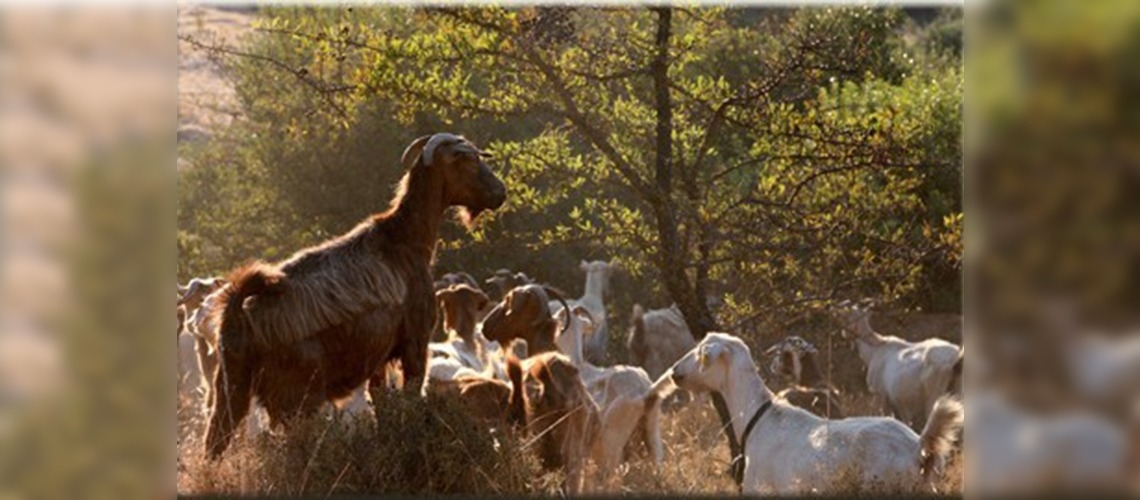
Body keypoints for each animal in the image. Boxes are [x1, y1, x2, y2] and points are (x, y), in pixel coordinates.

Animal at [206, 132, 508, 457]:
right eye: (469, 161)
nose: (500, 192)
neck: (403, 239)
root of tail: (240, 311)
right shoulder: (415, 344)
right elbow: (412, 398)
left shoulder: (378, 359)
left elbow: (382, 404)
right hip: (297, 398)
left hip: (230, 391)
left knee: (214, 443)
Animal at [834, 300, 957, 430]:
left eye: (844, 316)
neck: (874, 352)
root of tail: (956, 358)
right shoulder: (898, 402)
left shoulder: (881, 395)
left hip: (935, 395)